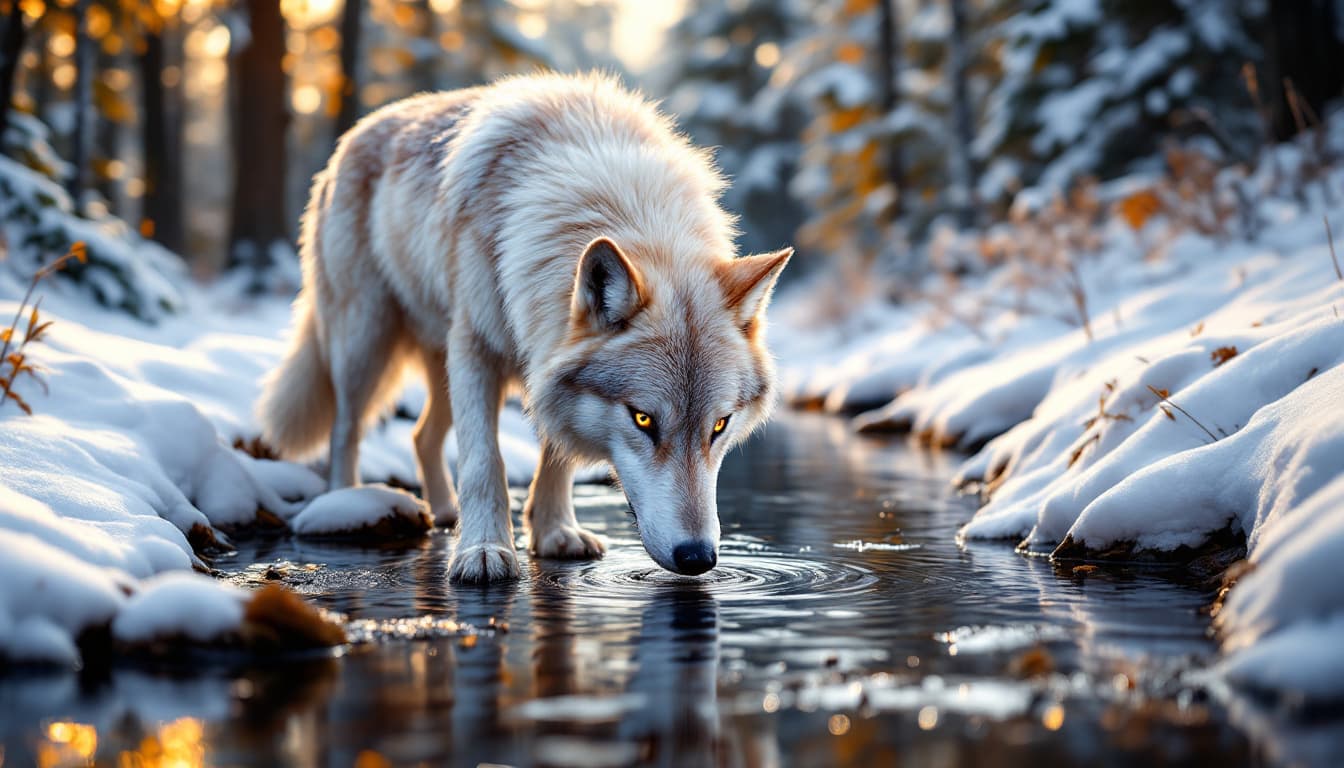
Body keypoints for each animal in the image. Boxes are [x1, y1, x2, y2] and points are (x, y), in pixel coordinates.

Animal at [256, 73, 790, 582]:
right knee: (345, 432)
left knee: (421, 436)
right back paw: (341, 509)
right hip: (366, 344)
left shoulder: (546, 364)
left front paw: (555, 534)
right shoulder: (475, 349)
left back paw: (445, 514)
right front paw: (483, 551)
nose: (697, 557)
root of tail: (352, 136)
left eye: (719, 426)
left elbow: (557, 458)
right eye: (643, 419)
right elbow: (483, 460)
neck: (621, 199)